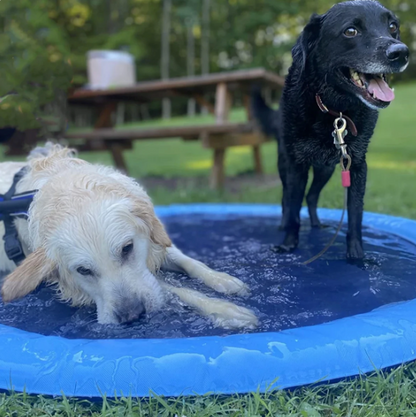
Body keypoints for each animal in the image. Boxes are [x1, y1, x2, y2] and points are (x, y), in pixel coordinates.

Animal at [0, 143, 256, 328]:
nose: (131, 315)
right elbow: (175, 289)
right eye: (83, 270)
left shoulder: (154, 241)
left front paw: (223, 280)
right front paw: (225, 310)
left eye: (127, 248)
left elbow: (190, 262)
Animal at [254, 0, 410, 260]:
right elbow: (293, 208)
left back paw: (317, 224)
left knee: (312, 196)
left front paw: (357, 256)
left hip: (325, 169)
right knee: (287, 198)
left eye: (392, 27)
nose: (401, 52)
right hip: (285, 163)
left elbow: (355, 214)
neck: (335, 110)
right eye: (350, 31)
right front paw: (288, 245)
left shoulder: (357, 165)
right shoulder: (296, 165)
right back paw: (284, 226)